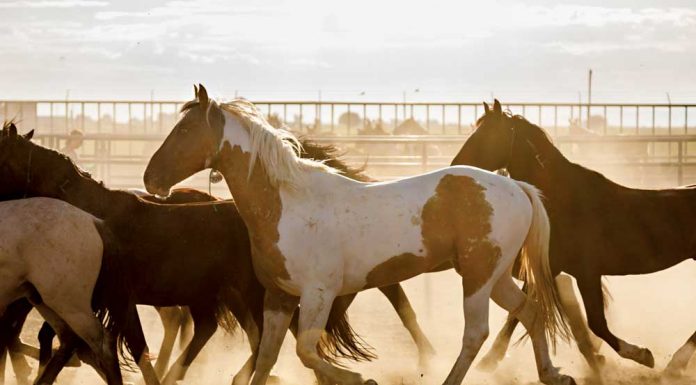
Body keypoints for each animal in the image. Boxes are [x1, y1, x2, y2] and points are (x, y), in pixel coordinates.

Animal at [144, 85, 572, 384]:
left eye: (186, 129)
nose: (151, 179)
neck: (288, 204)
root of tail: (517, 187)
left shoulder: (319, 293)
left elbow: (305, 350)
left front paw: (358, 376)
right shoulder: (279, 296)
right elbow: (267, 358)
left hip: (478, 277)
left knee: (476, 333)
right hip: (496, 277)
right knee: (530, 311)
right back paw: (553, 374)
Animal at [452, 99, 696, 376]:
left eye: (488, 134)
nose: (455, 164)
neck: (564, 198)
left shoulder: (587, 272)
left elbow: (597, 323)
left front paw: (642, 355)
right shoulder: (551, 266)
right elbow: (522, 310)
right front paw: (490, 359)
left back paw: (675, 365)